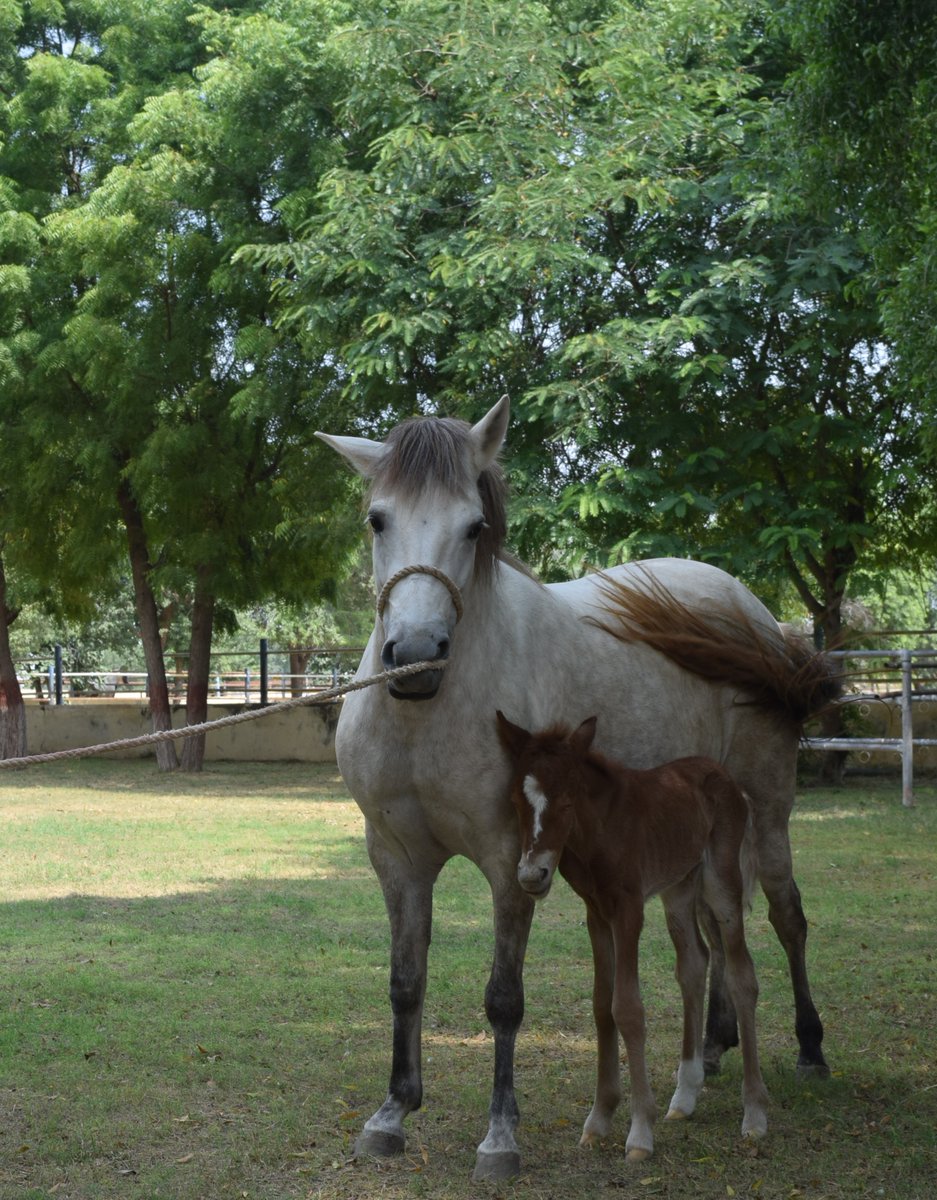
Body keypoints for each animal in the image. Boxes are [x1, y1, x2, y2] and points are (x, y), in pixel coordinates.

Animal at [496, 711, 769, 1161]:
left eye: (566, 802)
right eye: (517, 803)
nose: (532, 876)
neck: (598, 831)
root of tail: (728, 779)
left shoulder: (628, 910)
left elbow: (627, 1007)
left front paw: (640, 1130)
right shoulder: (596, 913)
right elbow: (600, 1005)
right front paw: (600, 1119)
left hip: (721, 883)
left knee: (741, 975)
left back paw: (754, 1113)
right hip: (679, 887)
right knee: (693, 964)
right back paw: (685, 1095)